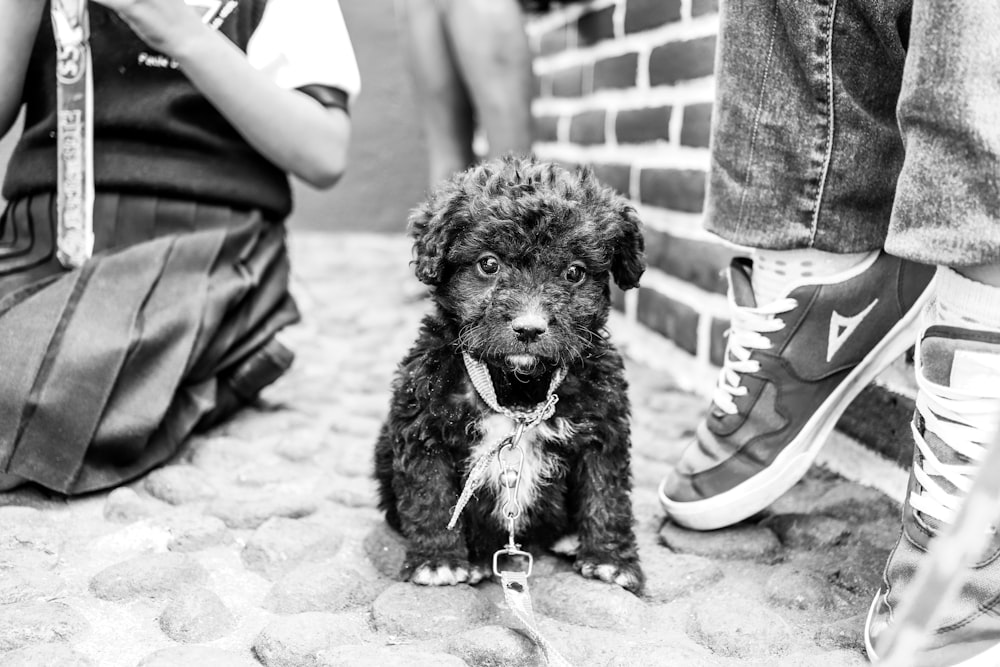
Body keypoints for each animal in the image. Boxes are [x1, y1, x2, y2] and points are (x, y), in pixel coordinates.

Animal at [376, 154, 648, 592]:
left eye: (574, 272)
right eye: (489, 264)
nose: (529, 328)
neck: (517, 389)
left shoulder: (602, 425)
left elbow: (606, 492)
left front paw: (610, 558)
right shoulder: (422, 423)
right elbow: (430, 494)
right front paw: (438, 560)